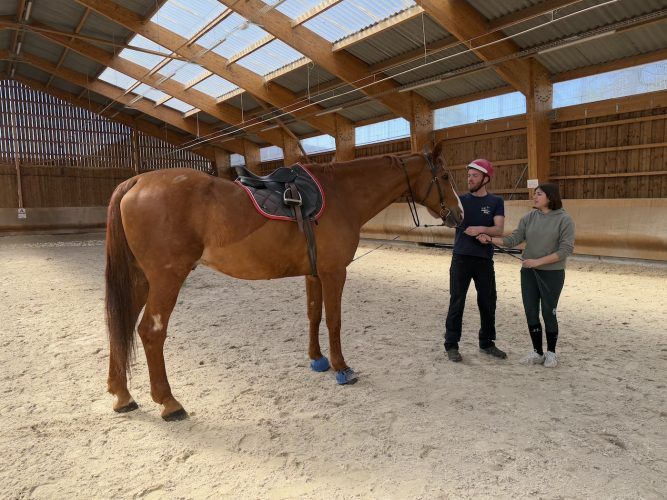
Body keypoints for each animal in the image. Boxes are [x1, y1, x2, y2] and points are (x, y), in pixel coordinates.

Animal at [104, 140, 463, 420]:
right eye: (445, 176)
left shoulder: (313, 272)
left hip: (139, 280)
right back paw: (169, 403)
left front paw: (318, 359)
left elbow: (313, 314)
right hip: (166, 279)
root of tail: (136, 181)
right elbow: (334, 320)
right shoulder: (334, 272)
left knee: (119, 324)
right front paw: (342, 368)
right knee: (151, 332)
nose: (459, 215)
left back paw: (122, 395)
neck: (341, 194)